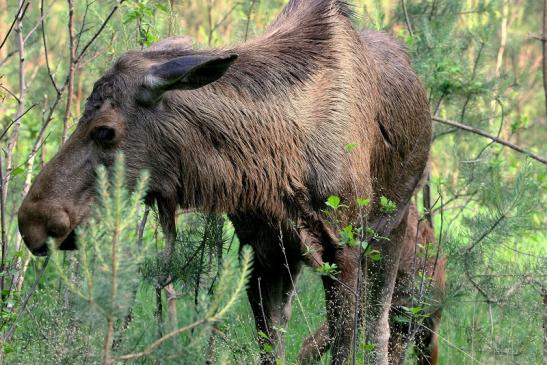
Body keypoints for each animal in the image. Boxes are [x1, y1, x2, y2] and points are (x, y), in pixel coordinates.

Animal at [17, 1, 432, 362]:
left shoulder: (343, 246)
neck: (274, 165)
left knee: (381, 331)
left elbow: (347, 347)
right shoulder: (265, 252)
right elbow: (271, 348)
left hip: (393, 228)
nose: (32, 220)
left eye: (105, 131)